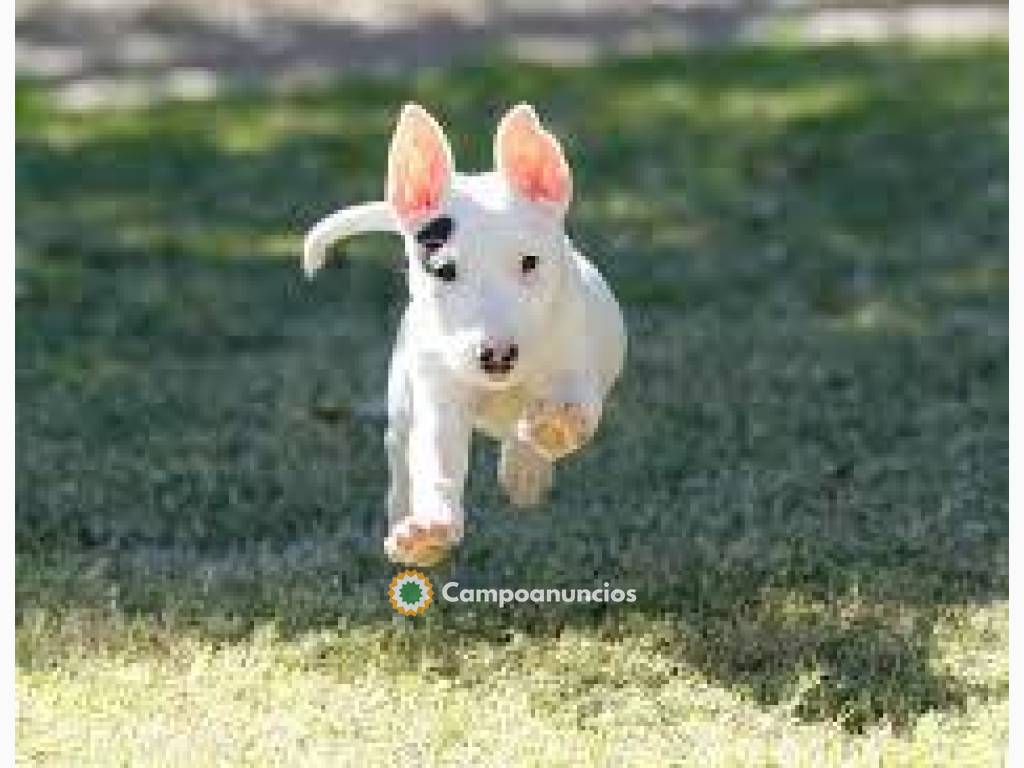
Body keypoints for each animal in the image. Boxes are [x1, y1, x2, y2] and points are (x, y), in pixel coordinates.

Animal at [301, 102, 622, 565]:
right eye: (444, 270)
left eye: (530, 262)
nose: (498, 356)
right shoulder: (440, 395)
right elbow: (437, 458)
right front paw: (429, 532)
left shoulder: (576, 360)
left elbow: (576, 405)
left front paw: (555, 426)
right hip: (403, 399)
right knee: (400, 453)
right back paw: (406, 516)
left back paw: (525, 468)